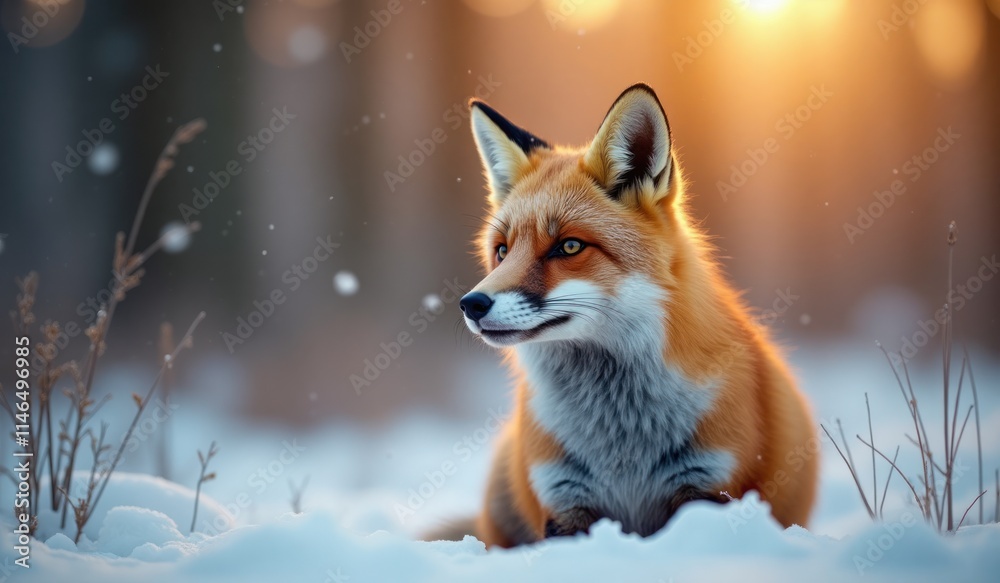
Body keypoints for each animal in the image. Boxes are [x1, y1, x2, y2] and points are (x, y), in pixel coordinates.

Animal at [443, 83, 818, 547]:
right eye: (502, 250)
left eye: (568, 246)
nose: (472, 304)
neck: (621, 435)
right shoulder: (563, 497)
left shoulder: (709, 487)